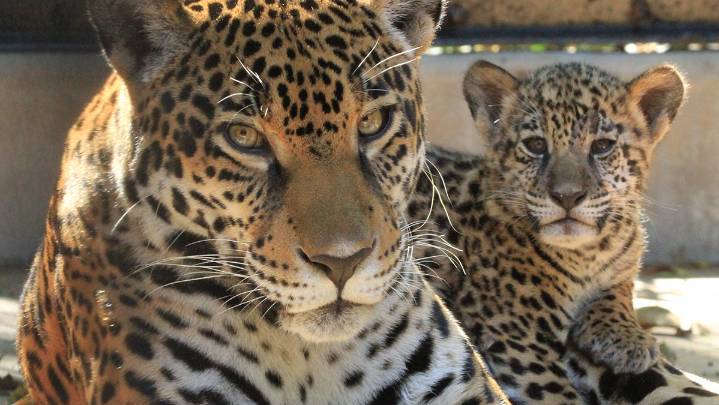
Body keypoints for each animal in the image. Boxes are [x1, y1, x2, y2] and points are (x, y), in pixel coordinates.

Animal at [410, 60, 717, 404]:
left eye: (602, 146)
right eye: (535, 145)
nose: (567, 196)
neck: (587, 254)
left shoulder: (622, 265)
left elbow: (620, 289)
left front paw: (627, 340)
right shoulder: (515, 334)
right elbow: (554, 391)